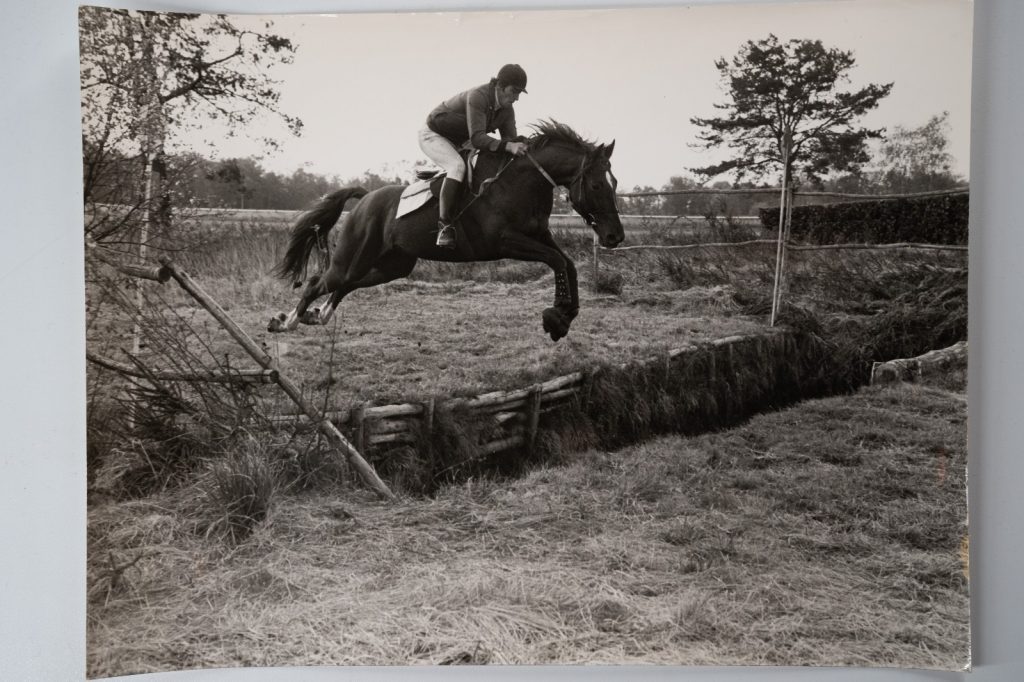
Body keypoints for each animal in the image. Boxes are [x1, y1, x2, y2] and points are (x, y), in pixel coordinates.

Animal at [267, 120, 625, 342]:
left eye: (615, 182)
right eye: (596, 185)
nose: (615, 237)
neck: (523, 181)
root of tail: (364, 199)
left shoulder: (539, 237)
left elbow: (567, 264)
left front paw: (564, 316)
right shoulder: (506, 241)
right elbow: (558, 261)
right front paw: (557, 317)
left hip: (392, 265)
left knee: (345, 285)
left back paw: (317, 316)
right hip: (354, 256)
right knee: (319, 282)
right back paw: (287, 322)